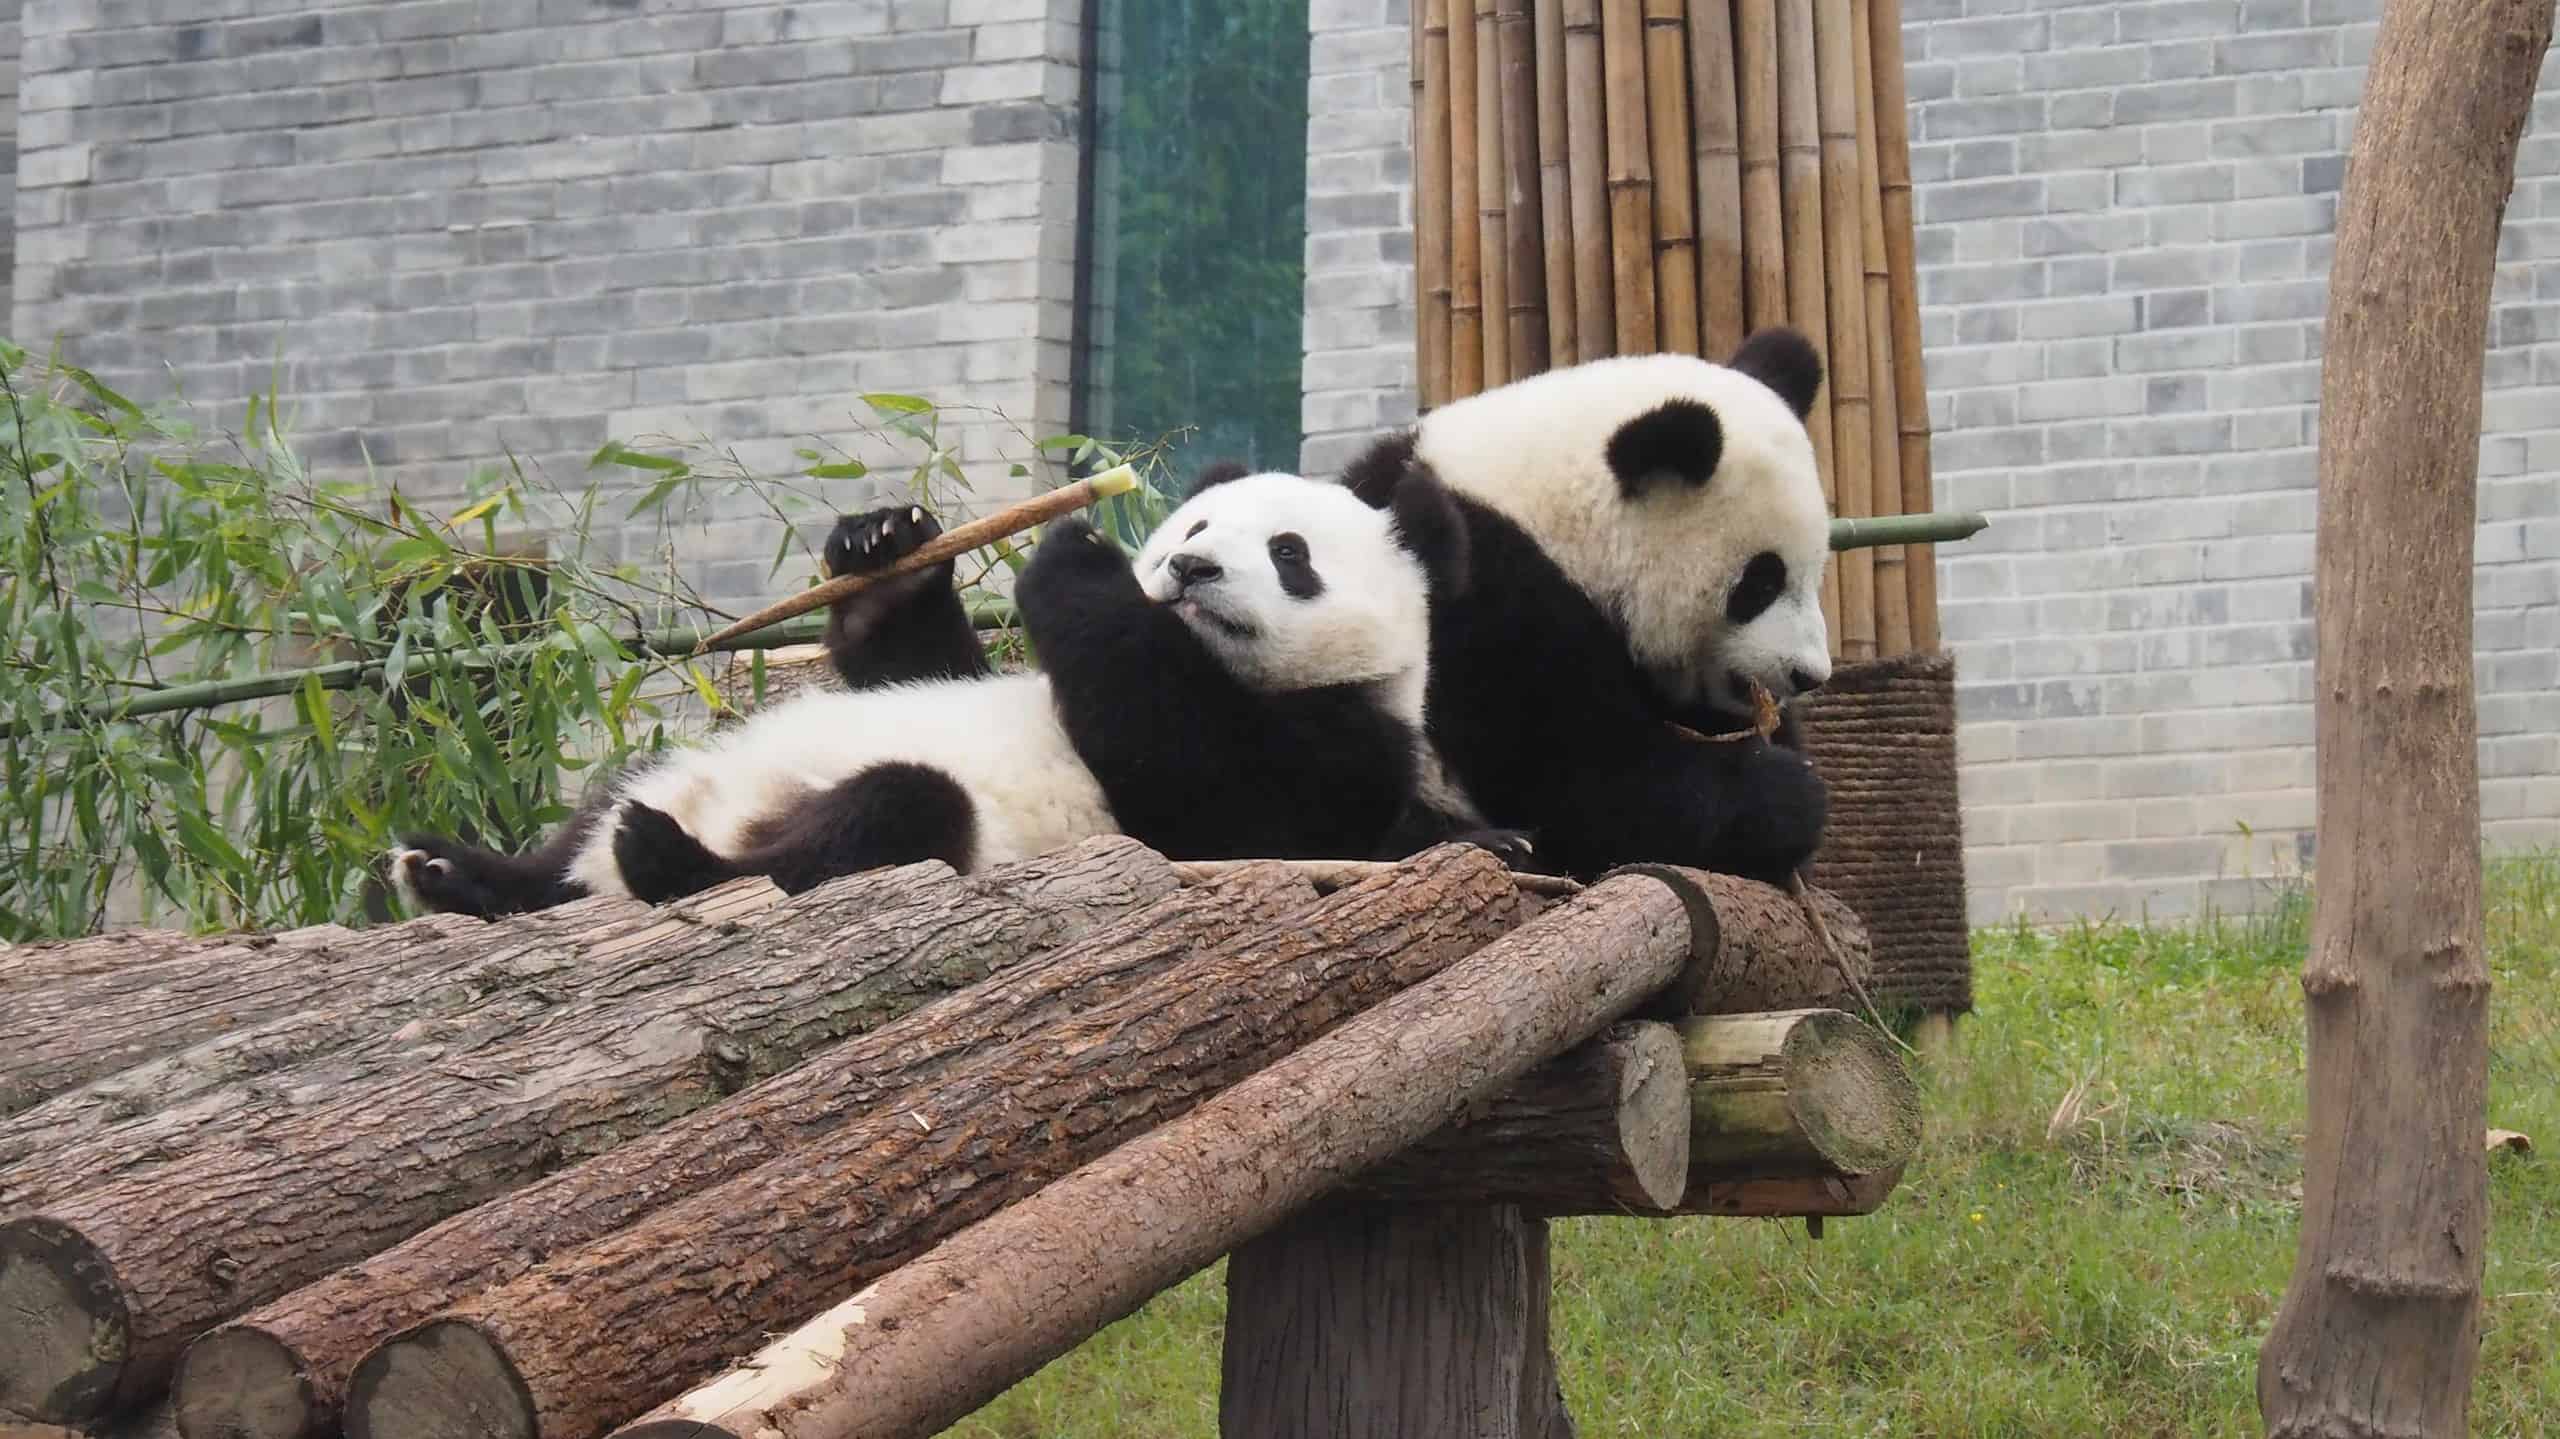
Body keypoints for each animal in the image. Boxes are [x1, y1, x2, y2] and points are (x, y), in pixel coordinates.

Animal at [385, 461, 1506, 919]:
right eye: (1192, 526)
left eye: (1289, 553)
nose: (1188, 570)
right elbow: (918, 661)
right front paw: (885, 543)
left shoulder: (1339, 754)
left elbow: (1205, 787)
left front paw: (1076, 557)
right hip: (679, 760)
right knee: (578, 828)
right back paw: (457, 871)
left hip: (919, 823)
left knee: (886, 814)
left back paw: (670, 858)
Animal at [1337, 326, 1835, 887]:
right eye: (1760, 583)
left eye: (1813, 571)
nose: (1808, 675)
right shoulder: (1484, 596)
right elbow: (1577, 776)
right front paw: (1786, 795)